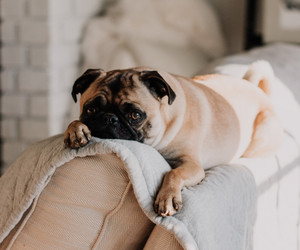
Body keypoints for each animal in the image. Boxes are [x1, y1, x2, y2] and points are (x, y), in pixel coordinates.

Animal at [64, 61, 282, 217]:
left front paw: (167, 198)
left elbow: (173, 173)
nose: (110, 118)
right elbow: (74, 122)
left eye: (135, 115)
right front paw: (75, 130)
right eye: (91, 109)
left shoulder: (192, 165)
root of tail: (257, 89)